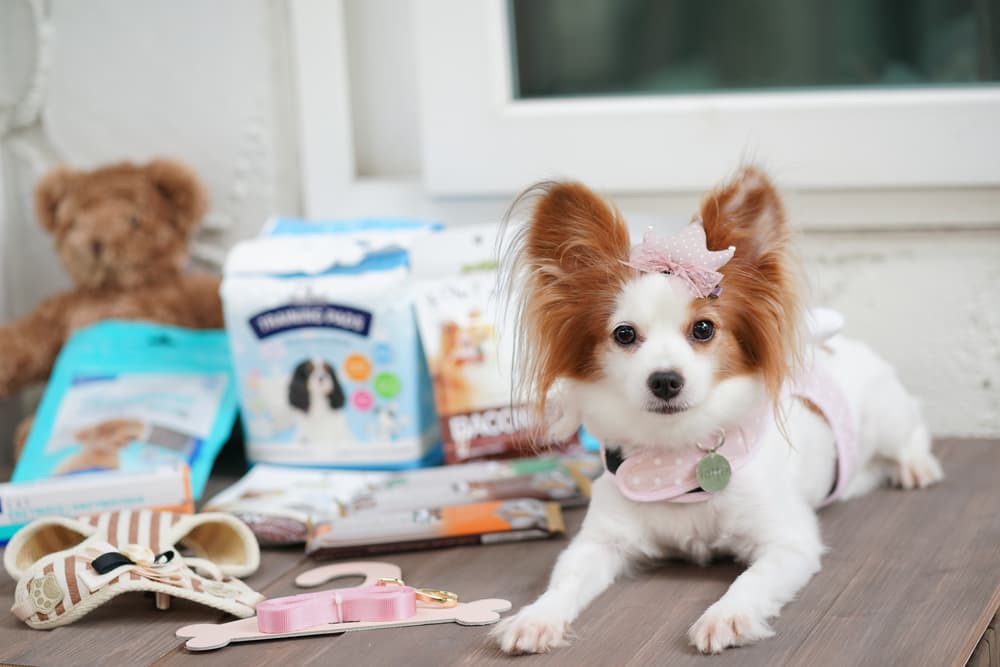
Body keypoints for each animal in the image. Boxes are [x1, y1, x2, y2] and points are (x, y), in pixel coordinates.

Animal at [496, 167, 940, 656]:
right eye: (624, 334)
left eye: (704, 328)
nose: (665, 380)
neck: (676, 456)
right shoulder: (597, 542)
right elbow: (565, 581)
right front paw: (537, 617)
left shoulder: (789, 542)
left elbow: (752, 580)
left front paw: (726, 616)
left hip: (888, 417)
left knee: (914, 430)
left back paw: (916, 467)